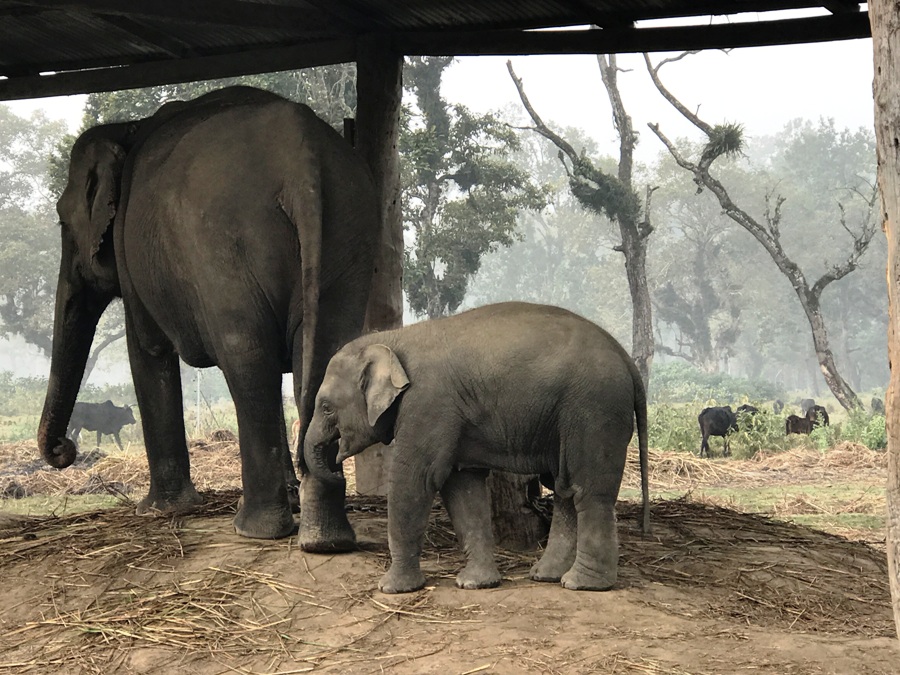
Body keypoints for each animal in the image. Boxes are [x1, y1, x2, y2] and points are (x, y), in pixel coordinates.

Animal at [37, 87, 376, 548]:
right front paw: (292, 497)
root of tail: (303, 163)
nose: (64, 451)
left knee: (246, 356)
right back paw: (324, 538)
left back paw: (255, 528)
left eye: (60, 219)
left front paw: (159, 510)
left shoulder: (130, 252)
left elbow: (146, 349)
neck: (128, 129)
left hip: (220, 243)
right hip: (347, 234)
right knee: (324, 350)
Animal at [302, 304, 648, 596]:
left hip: (595, 409)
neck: (392, 338)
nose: (338, 471)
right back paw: (546, 575)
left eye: (327, 407)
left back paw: (582, 584)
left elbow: (415, 480)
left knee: (587, 490)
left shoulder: (428, 404)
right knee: (564, 487)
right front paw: (476, 584)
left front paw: (392, 589)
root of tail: (627, 360)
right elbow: (463, 487)